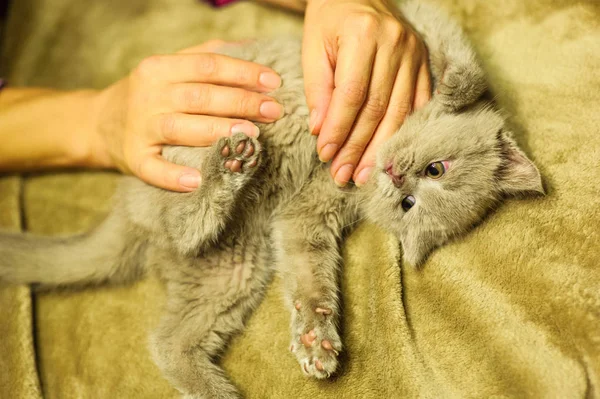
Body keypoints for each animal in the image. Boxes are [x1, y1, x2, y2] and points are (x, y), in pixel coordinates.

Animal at [0, 1, 544, 398]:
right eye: (435, 170)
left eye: (410, 205)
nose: (396, 178)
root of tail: (127, 210)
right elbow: (461, 63)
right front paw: (450, 79)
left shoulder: (306, 212)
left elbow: (310, 274)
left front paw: (316, 339)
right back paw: (230, 167)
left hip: (232, 267)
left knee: (171, 328)